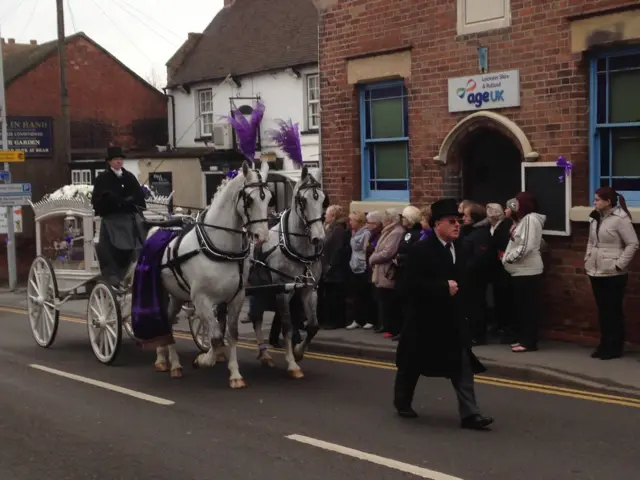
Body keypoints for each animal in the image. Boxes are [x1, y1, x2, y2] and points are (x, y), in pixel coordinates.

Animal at [152, 161, 272, 390]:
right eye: (249, 199)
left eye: (269, 197)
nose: (262, 236)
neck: (220, 247)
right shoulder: (201, 299)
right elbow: (215, 336)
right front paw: (204, 359)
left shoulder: (236, 298)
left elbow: (231, 334)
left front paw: (235, 374)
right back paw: (170, 362)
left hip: (176, 295)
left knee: (168, 322)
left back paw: (168, 361)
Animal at [249, 166, 324, 378]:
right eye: (303, 200)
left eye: (323, 199)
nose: (319, 237)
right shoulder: (283, 291)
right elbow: (288, 326)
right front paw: (292, 363)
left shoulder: (309, 289)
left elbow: (313, 325)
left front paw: (299, 352)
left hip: (259, 290)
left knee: (256, 318)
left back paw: (265, 355)